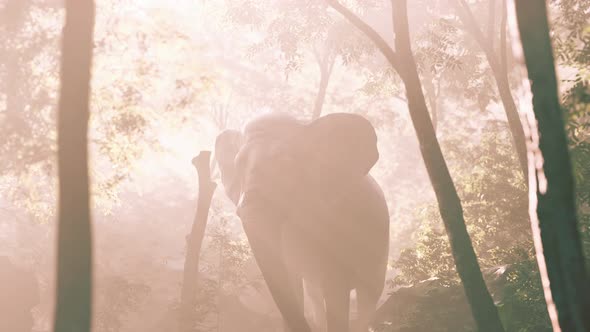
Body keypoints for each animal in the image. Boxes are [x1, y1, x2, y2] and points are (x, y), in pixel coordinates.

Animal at [215, 113, 390, 330]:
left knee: (368, 296)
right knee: (316, 296)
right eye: (238, 166)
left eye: (285, 164)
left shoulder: (339, 219)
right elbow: (292, 281)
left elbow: (336, 288)